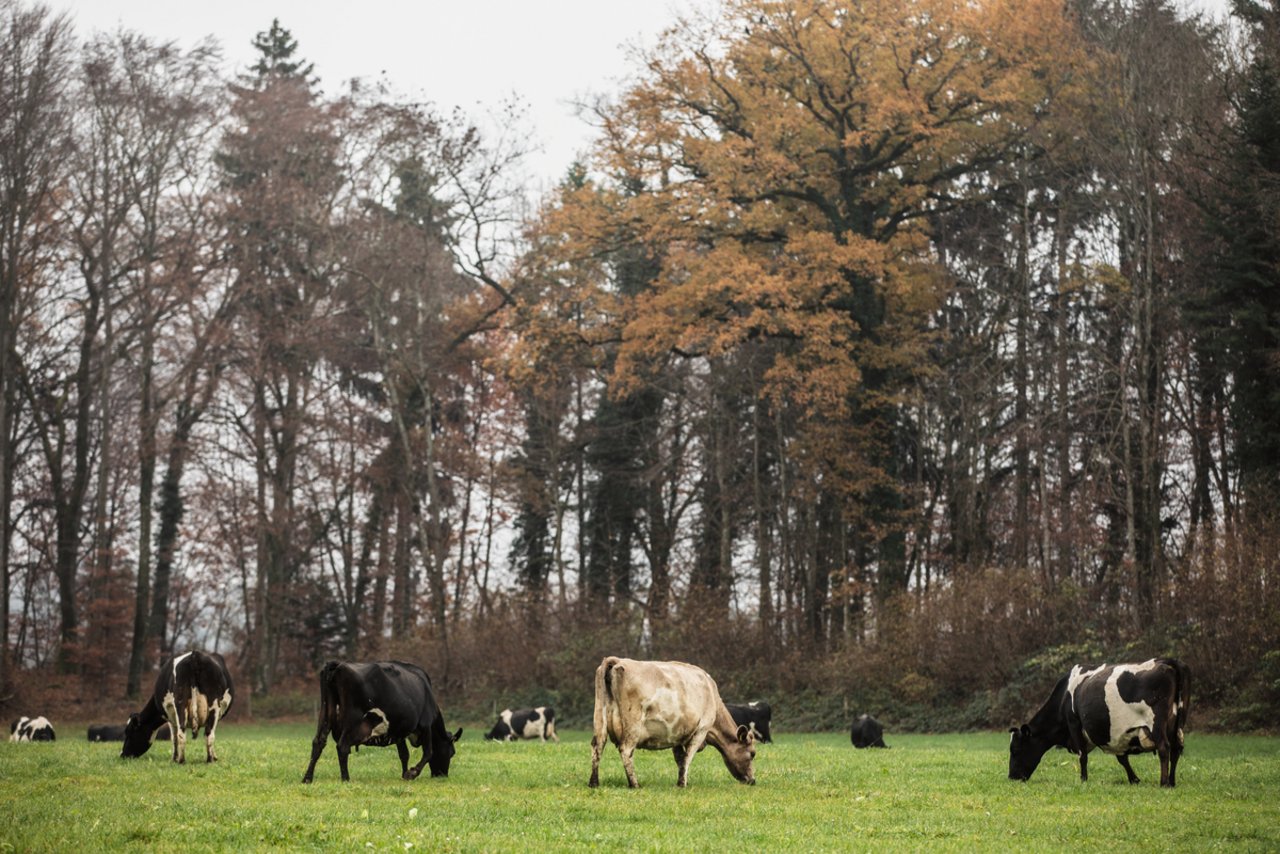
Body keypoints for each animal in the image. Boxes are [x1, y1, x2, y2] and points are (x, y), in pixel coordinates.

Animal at [299, 660, 460, 783]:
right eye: (451, 752)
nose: (442, 775)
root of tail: (339, 664)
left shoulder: (399, 731)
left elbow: (404, 754)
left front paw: (404, 774)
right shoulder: (425, 725)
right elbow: (428, 752)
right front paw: (411, 773)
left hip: (326, 712)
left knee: (318, 743)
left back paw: (307, 778)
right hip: (353, 721)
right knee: (342, 746)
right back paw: (346, 779)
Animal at [586, 660, 752, 793]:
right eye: (752, 754)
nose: (752, 780)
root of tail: (618, 661)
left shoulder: (676, 736)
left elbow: (680, 759)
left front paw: (681, 781)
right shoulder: (701, 730)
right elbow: (688, 757)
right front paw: (682, 784)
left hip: (599, 718)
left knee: (597, 746)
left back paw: (594, 783)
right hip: (633, 726)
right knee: (626, 750)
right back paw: (634, 784)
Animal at [1008, 660, 1187, 788]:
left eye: (1015, 750)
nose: (1012, 777)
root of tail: (1166, 662)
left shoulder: (1074, 723)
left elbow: (1083, 756)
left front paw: (1083, 780)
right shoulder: (1117, 734)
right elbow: (1122, 758)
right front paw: (1134, 779)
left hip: (1156, 723)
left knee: (1164, 748)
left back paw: (1163, 783)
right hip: (1176, 724)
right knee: (1176, 749)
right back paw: (1171, 781)